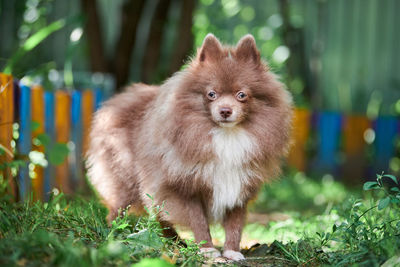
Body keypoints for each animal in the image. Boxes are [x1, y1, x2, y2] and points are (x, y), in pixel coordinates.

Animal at [87, 33, 292, 262]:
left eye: (241, 95)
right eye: (211, 94)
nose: (225, 110)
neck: (227, 137)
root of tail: (116, 103)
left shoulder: (240, 186)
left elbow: (235, 223)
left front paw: (232, 251)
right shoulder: (187, 187)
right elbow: (198, 220)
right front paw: (207, 250)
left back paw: (173, 241)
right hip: (125, 178)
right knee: (119, 208)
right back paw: (114, 235)